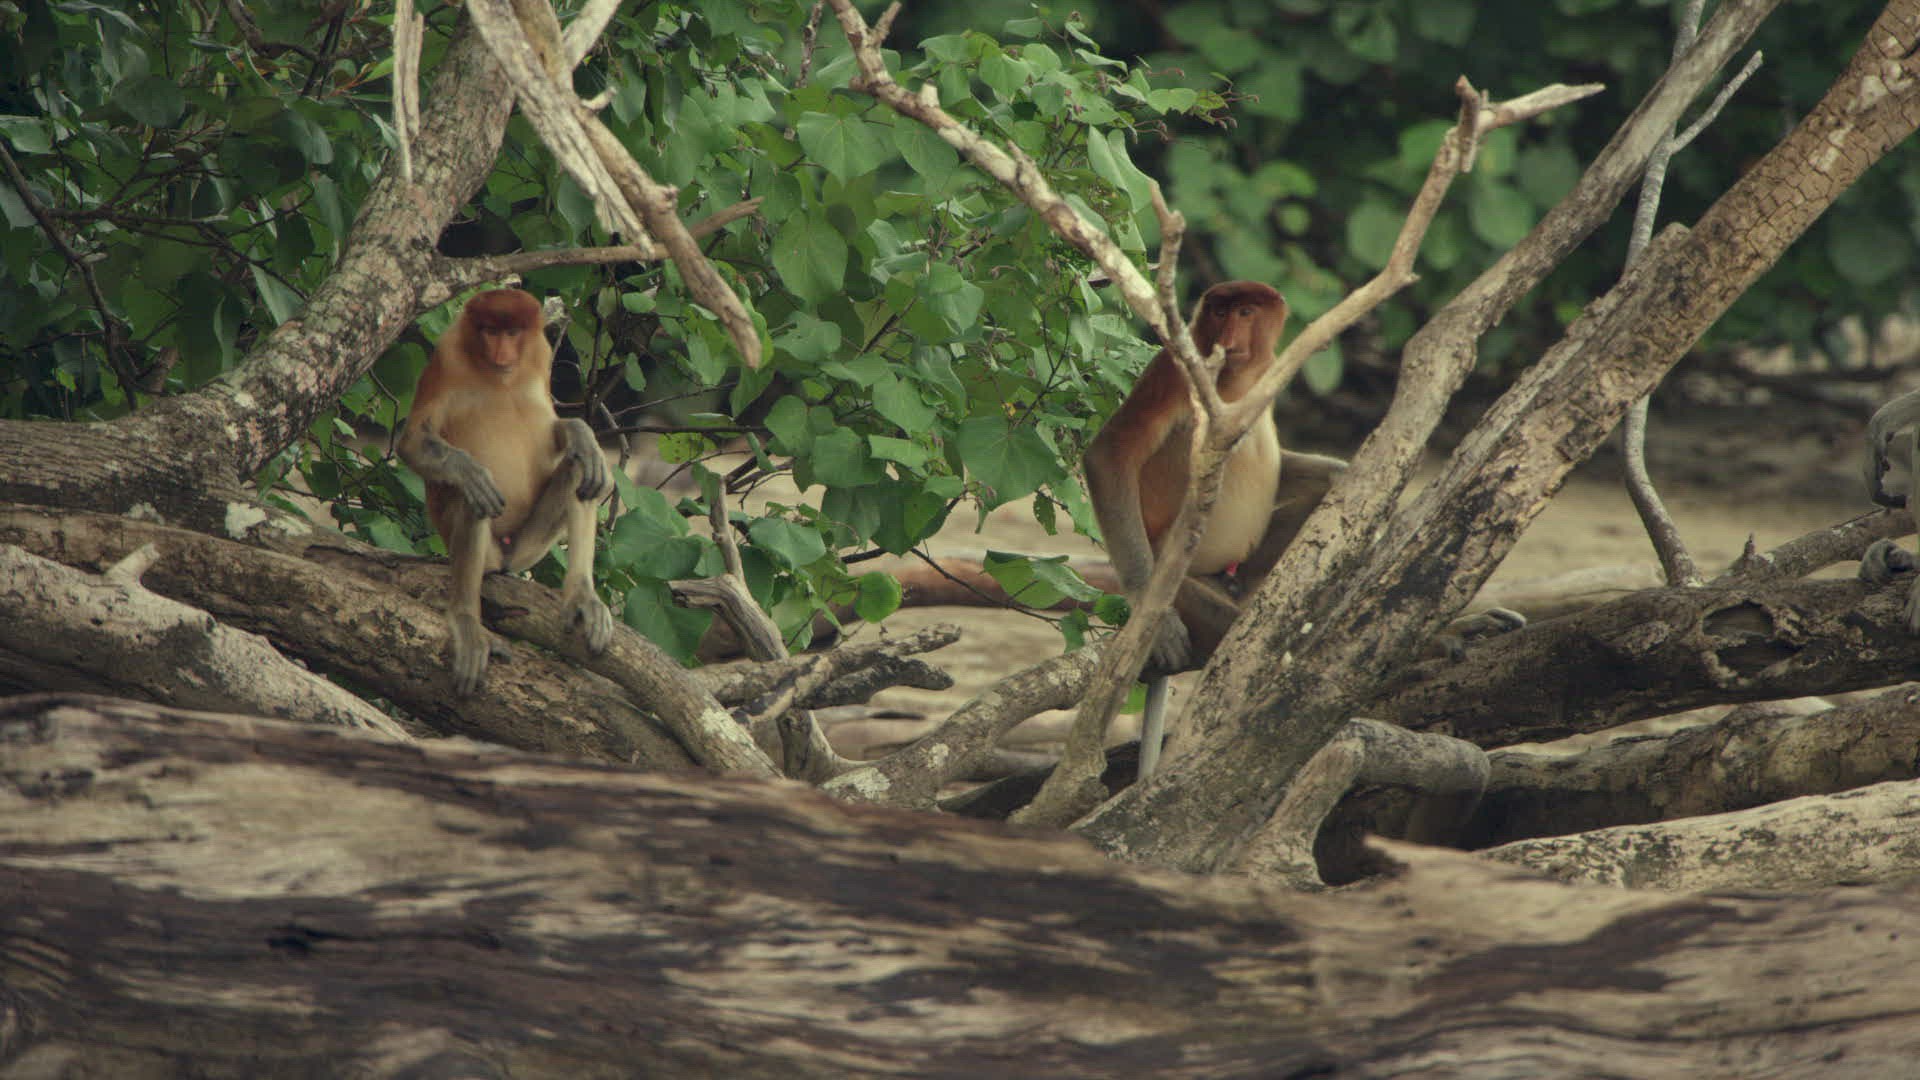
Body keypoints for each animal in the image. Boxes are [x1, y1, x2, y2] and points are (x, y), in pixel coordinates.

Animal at [399, 288, 615, 694]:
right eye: (489, 331)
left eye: (513, 332)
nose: (502, 355)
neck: (499, 377)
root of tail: (505, 557)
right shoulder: (446, 355)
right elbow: (414, 441)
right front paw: (470, 470)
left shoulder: (541, 353)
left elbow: (553, 429)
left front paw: (582, 435)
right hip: (483, 551)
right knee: (472, 501)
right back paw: (467, 623)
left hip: (529, 546)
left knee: (578, 470)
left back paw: (582, 596)